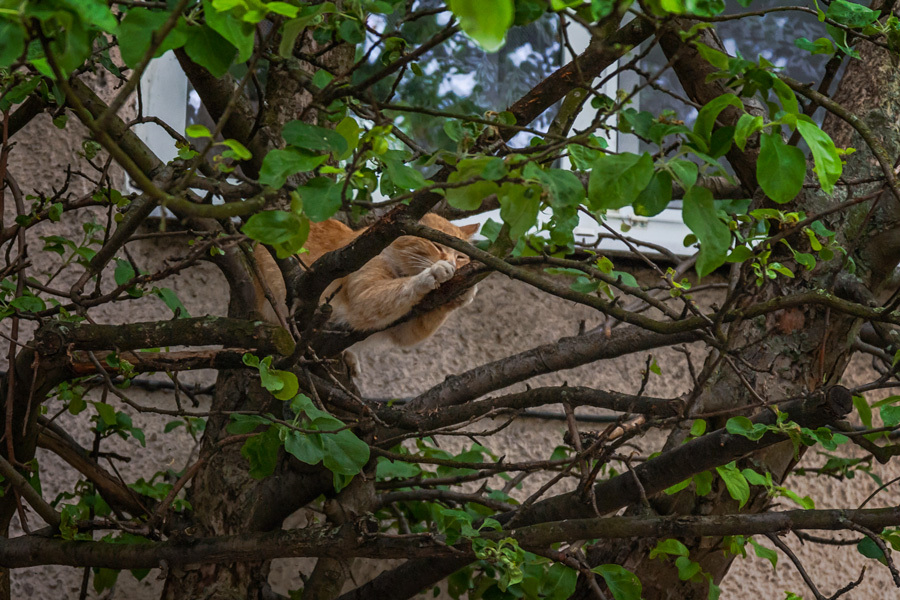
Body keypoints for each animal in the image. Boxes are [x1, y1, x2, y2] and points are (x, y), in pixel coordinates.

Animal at [253, 213, 478, 346]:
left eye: (461, 256)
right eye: (437, 245)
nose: (453, 263)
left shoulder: (404, 329)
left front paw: (466, 293)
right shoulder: (364, 298)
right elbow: (404, 287)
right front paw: (433, 272)